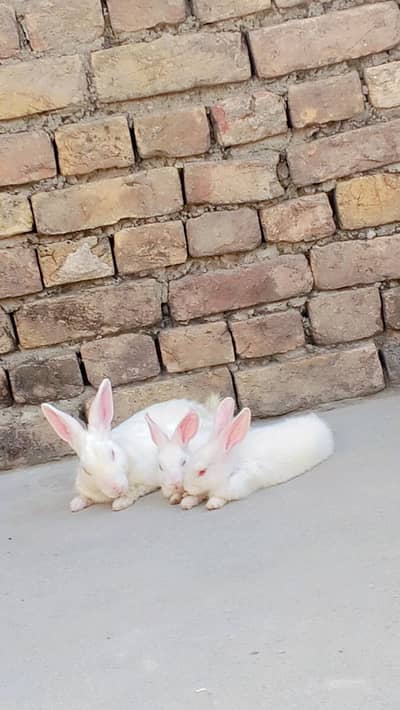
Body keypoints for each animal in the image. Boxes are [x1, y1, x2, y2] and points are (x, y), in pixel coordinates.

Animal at [41, 378, 218, 512]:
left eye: (113, 453)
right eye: (85, 470)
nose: (115, 489)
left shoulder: (148, 481)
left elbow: (136, 490)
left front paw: (120, 502)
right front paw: (76, 503)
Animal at [180, 398, 334, 510]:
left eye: (202, 471)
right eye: (187, 462)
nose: (186, 487)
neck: (232, 466)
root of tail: (319, 423)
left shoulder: (239, 484)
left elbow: (220, 496)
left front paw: (212, 504)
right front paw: (186, 502)